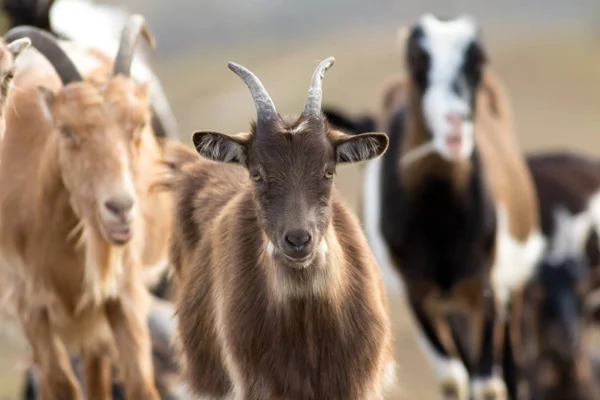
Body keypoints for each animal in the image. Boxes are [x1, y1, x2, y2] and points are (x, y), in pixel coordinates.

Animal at [0, 15, 173, 400]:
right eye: (65, 131)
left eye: (140, 124)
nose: (120, 208)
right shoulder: (29, 303)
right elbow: (60, 384)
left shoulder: (123, 294)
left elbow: (141, 384)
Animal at [326, 13, 548, 400]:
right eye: (417, 60)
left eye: (478, 61)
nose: (455, 127)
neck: (439, 219)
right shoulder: (418, 293)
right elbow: (453, 378)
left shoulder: (485, 285)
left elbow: (488, 383)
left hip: (509, 285)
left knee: (510, 360)